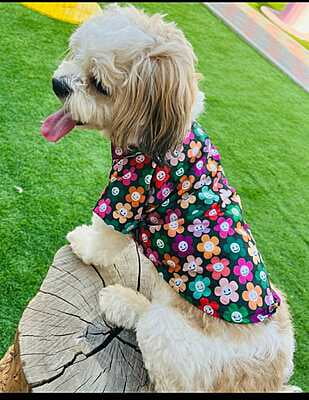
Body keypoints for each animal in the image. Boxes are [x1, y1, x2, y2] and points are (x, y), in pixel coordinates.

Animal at [40, 2, 298, 390]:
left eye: (99, 84)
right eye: (76, 54)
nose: (59, 84)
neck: (158, 136)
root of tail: (264, 380)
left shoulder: (126, 196)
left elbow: (102, 239)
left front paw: (83, 242)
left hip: (167, 332)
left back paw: (122, 301)